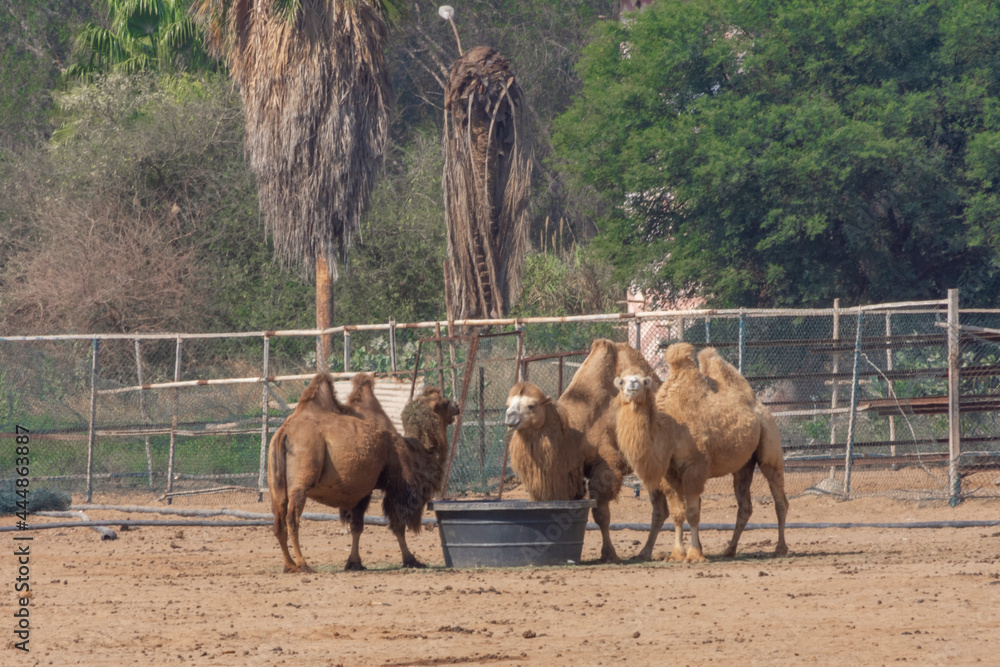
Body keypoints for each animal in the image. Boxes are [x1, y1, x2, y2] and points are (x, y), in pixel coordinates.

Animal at [268, 374, 459, 573]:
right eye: (444, 402)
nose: (457, 405)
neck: (413, 449)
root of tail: (283, 433)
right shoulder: (394, 486)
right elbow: (397, 524)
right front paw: (411, 559)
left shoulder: (361, 489)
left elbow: (356, 526)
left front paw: (354, 563)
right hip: (301, 481)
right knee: (292, 519)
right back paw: (303, 564)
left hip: (275, 484)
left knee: (278, 521)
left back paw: (289, 565)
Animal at [504, 338, 669, 563]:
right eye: (508, 403)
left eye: (531, 406)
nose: (509, 416)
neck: (574, 432)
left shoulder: (607, 465)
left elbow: (601, 514)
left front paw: (609, 554)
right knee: (663, 508)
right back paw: (648, 551)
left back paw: (648, 552)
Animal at [614, 342, 789, 563]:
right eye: (621, 381)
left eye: (644, 381)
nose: (632, 385)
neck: (669, 430)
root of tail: (760, 406)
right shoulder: (668, 474)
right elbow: (678, 514)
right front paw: (676, 554)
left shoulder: (695, 467)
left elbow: (692, 513)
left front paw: (695, 554)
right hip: (743, 464)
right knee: (745, 505)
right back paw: (729, 550)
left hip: (769, 438)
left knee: (779, 497)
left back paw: (780, 549)